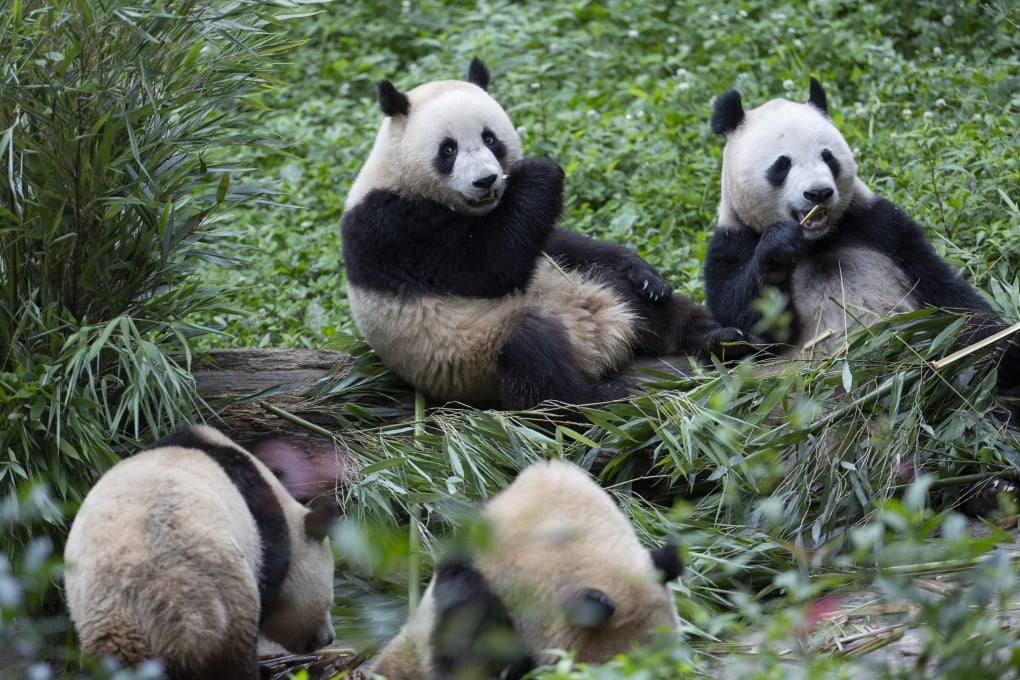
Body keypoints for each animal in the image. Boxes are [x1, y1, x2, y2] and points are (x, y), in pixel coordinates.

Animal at [63, 425, 339, 679]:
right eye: (329, 601)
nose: (328, 638)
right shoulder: (267, 536)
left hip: (108, 634)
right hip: (225, 609)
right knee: (233, 664)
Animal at [341, 58, 744, 410]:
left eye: (490, 138)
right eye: (448, 149)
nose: (486, 180)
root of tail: (599, 347)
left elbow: (549, 241)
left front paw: (642, 270)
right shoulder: (395, 227)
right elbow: (487, 268)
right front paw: (540, 170)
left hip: (587, 286)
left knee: (636, 299)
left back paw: (716, 338)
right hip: (475, 356)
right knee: (533, 355)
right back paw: (595, 397)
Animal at [704, 78, 1020, 389]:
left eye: (828, 157)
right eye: (782, 164)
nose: (818, 192)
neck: (817, 241)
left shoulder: (878, 225)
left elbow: (940, 288)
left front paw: (1000, 347)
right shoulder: (733, 241)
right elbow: (743, 321)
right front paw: (778, 252)